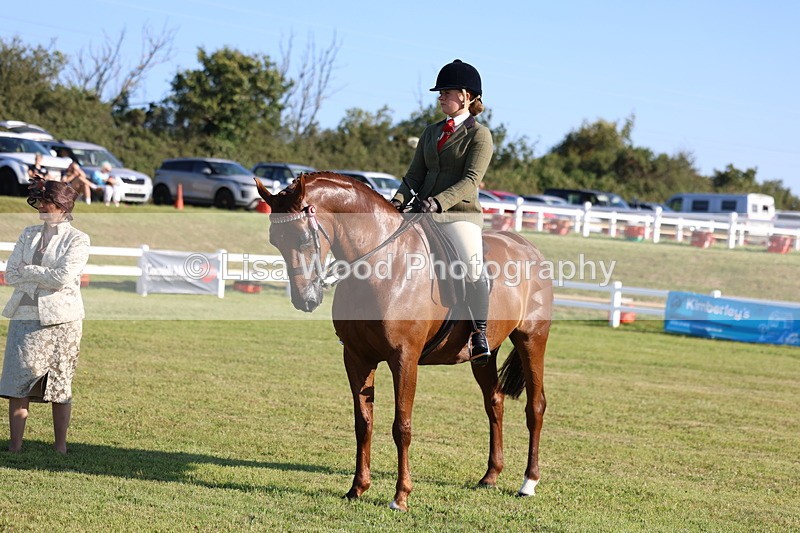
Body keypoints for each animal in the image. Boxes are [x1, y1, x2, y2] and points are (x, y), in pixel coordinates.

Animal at [256, 172, 552, 511]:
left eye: (304, 239)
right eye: (275, 241)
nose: (305, 300)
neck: (382, 264)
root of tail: (527, 246)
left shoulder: (404, 358)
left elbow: (402, 426)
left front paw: (401, 496)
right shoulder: (356, 357)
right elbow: (363, 423)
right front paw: (357, 488)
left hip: (532, 339)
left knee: (535, 407)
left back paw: (528, 482)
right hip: (484, 355)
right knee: (495, 403)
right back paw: (490, 476)